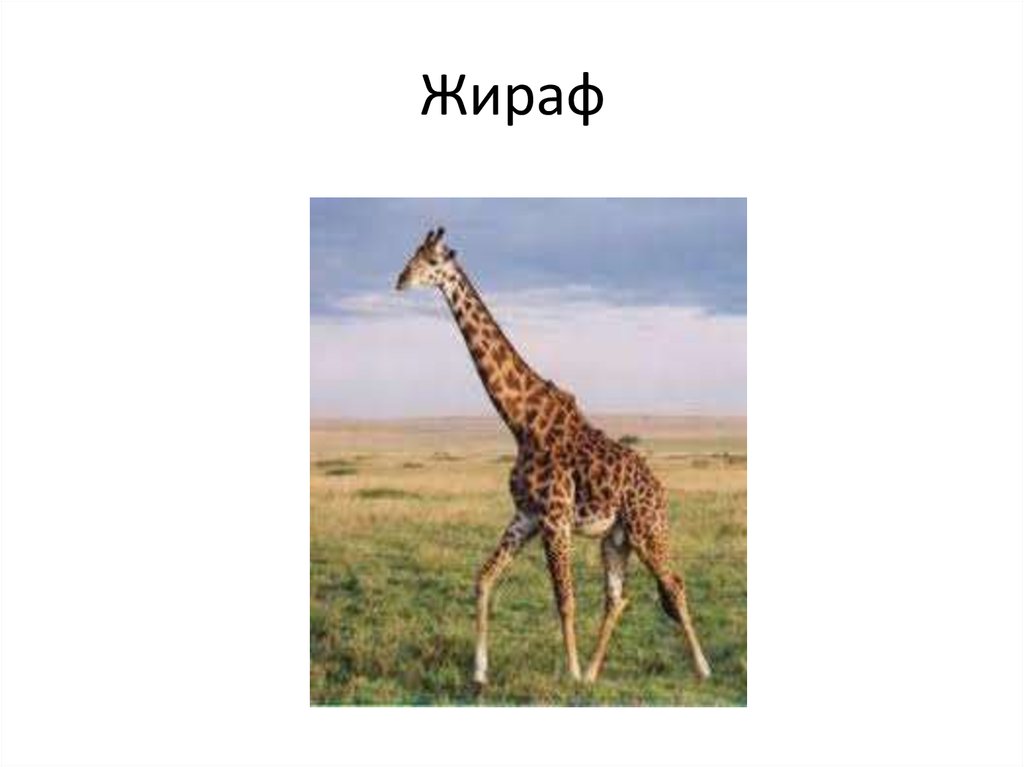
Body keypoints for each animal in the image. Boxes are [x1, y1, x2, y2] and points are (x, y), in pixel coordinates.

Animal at [395, 227, 712, 685]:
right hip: (614, 540)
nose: (400, 280)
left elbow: (564, 599)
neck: (520, 421)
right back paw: (596, 673)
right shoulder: (525, 515)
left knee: (674, 583)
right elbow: (484, 579)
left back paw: (702, 668)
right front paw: (480, 672)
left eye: (432, 261)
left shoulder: (554, 517)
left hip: (646, 530)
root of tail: (660, 490)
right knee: (618, 598)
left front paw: (571, 673)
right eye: (412, 255)